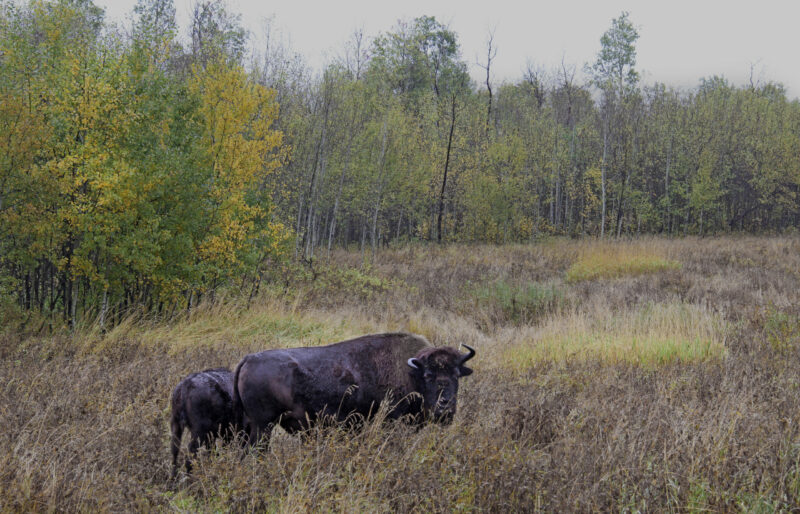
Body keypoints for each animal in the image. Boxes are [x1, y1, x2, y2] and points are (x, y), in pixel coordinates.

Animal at [231, 330, 476, 442]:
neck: (410, 371)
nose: (445, 407)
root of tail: (248, 359)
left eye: (457, 375)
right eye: (427, 374)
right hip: (263, 426)